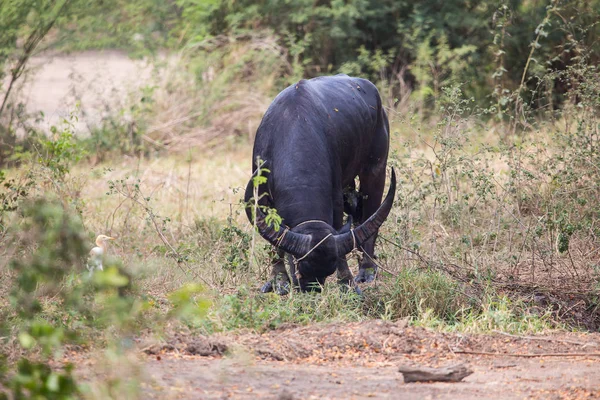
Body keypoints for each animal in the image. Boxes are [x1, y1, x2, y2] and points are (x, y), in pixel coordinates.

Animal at [244, 75, 394, 292]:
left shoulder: (336, 196)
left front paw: (346, 281)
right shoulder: (261, 196)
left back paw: (367, 270)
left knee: (370, 213)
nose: (310, 290)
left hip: (375, 169)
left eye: (327, 271)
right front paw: (278, 280)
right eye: (298, 265)